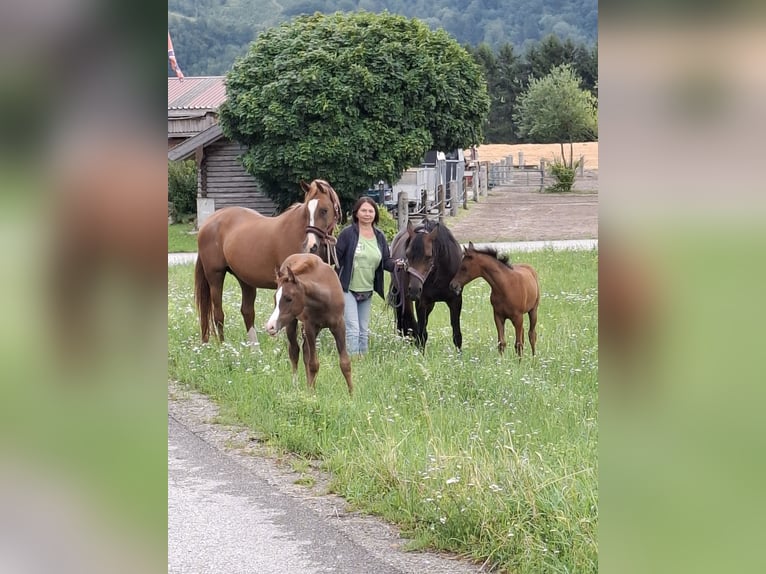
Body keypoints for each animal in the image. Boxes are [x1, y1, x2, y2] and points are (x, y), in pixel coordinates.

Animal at [194, 179, 342, 344]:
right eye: (307, 211)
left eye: (324, 210)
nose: (311, 245)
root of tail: (208, 223)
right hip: (215, 276)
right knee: (218, 314)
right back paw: (223, 345)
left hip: (245, 279)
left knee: (247, 311)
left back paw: (254, 347)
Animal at [265, 253, 353, 395]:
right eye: (275, 299)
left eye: (289, 298)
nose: (270, 326)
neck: (324, 298)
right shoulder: (310, 326)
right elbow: (313, 364)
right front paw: (311, 394)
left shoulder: (339, 325)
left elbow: (345, 363)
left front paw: (351, 395)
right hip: (292, 323)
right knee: (295, 351)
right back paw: (297, 386)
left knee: (305, 351)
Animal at [388, 218, 463, 351]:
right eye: (407, 255)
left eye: (428, 256)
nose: (414, 290)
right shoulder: (421, 303)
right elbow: (422, 336)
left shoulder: (456, 301)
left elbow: (457, 335)